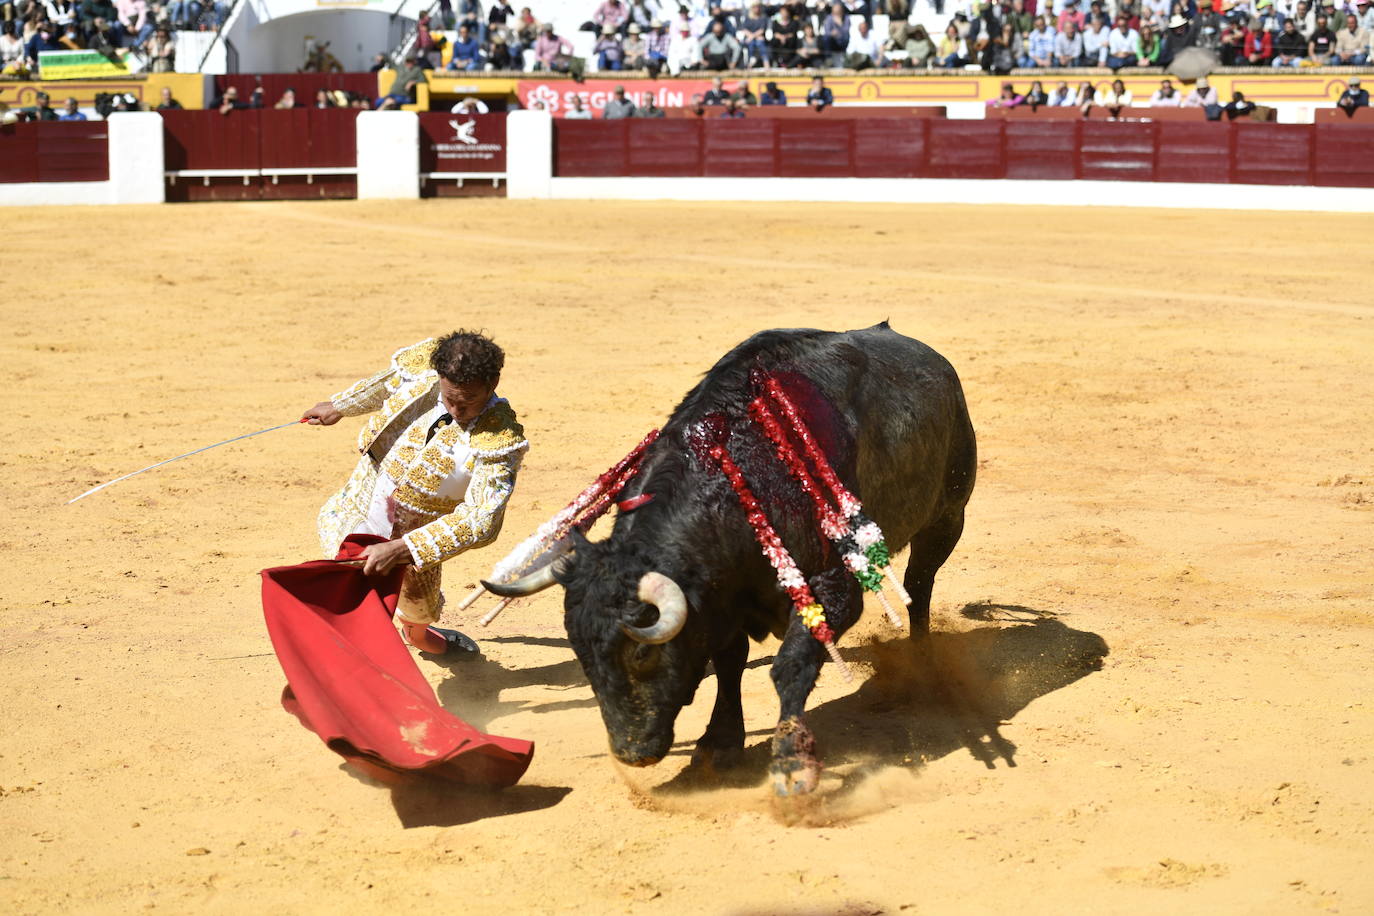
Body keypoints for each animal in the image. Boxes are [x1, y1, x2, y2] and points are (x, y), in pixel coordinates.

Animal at [486, 325, 978, 796]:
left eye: (643, 653)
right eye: (583, 656)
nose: (631, 752)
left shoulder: (834, 591)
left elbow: (790, 665)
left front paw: (792, 762)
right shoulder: (721, 604)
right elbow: (728, 664)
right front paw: (719, 744)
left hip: (948, 518)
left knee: (920, 588)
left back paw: (922, 669)